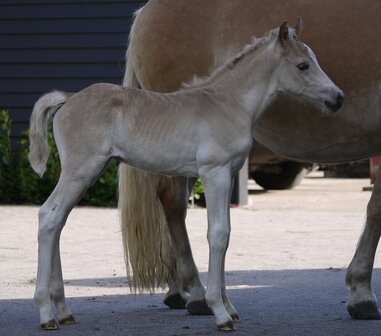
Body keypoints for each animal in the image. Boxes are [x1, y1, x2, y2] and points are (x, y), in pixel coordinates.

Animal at [29, 22, 342, 332]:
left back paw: (63, 311)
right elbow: (218, 234)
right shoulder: (215, 173)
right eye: (303, 65)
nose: (338, 98)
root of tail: (69, 99)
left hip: (83, 173)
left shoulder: (227, 176)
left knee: (57, 221)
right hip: (81, 171)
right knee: (48, 217)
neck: (230, 103)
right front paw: (220, 312)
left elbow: (225, 233)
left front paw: (229, 307)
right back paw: (46, 314)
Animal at [120, 0, 380, 320]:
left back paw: (179, 292)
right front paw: (362, 293)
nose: (338, 97)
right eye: (303, 66)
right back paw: (196, 294)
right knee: (173, 204)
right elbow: (376, 210)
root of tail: (145, 12)